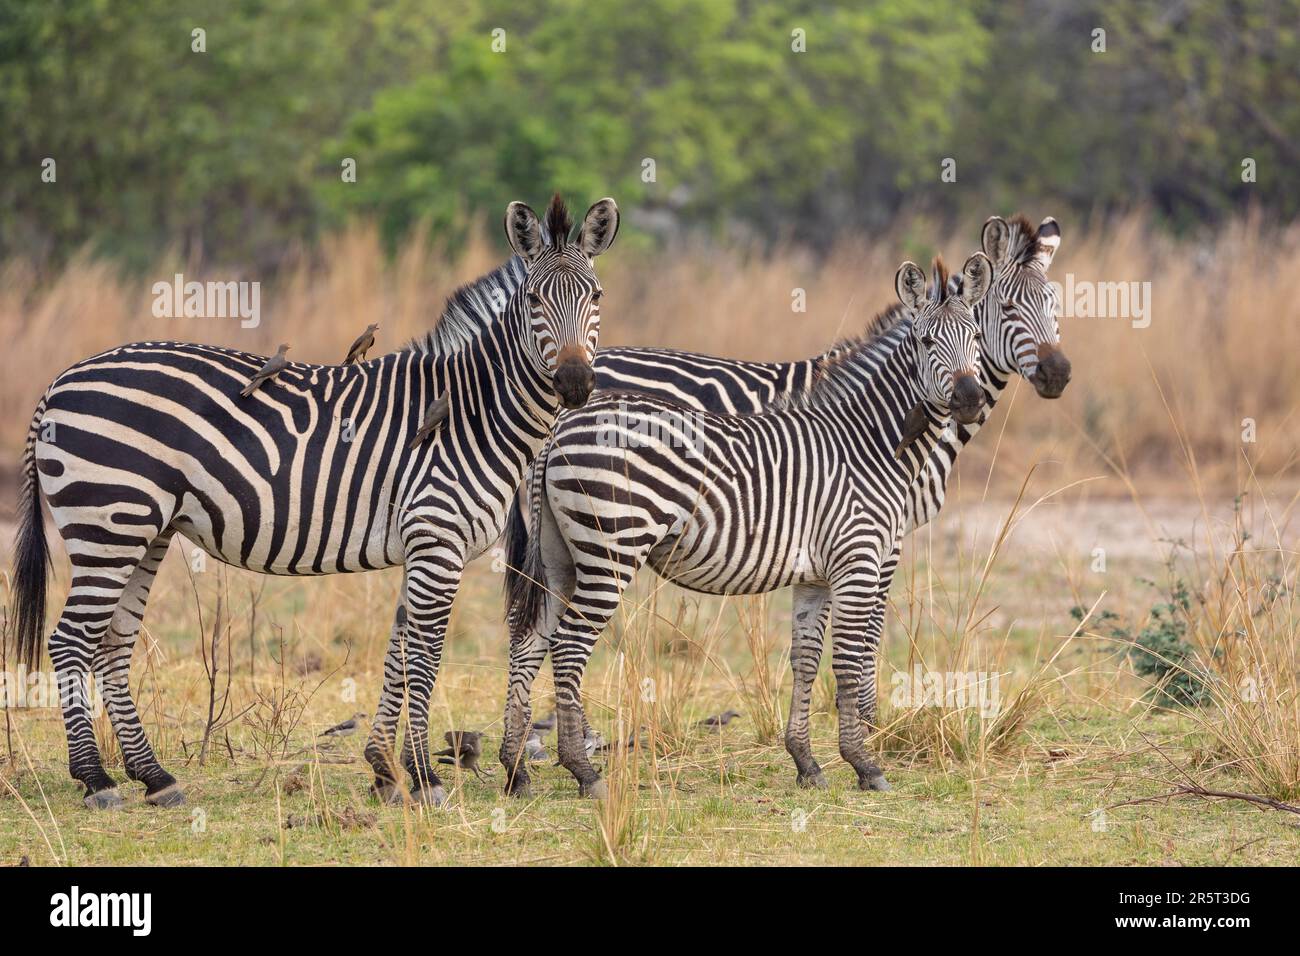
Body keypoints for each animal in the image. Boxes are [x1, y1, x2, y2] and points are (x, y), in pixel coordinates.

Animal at [8, 197, 618, 811]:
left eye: (596, 297)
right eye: (535, 300)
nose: (574, 383)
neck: (475, 412)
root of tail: (58, 383)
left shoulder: (420, 547)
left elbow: (397, 654)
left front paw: (384, 771)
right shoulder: (437, 543)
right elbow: (423, 658)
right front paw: (425, 777)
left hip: (144, 531)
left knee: (112, 643)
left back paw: (155, 778)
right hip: (109, 524)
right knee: (70, 640)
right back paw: (96, 780)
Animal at [496, 210, 1066, 733]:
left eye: (1056, 306)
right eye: (1008, 308)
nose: (1059, 373)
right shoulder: (881, 535)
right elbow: (869, 633)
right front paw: (868, 724)